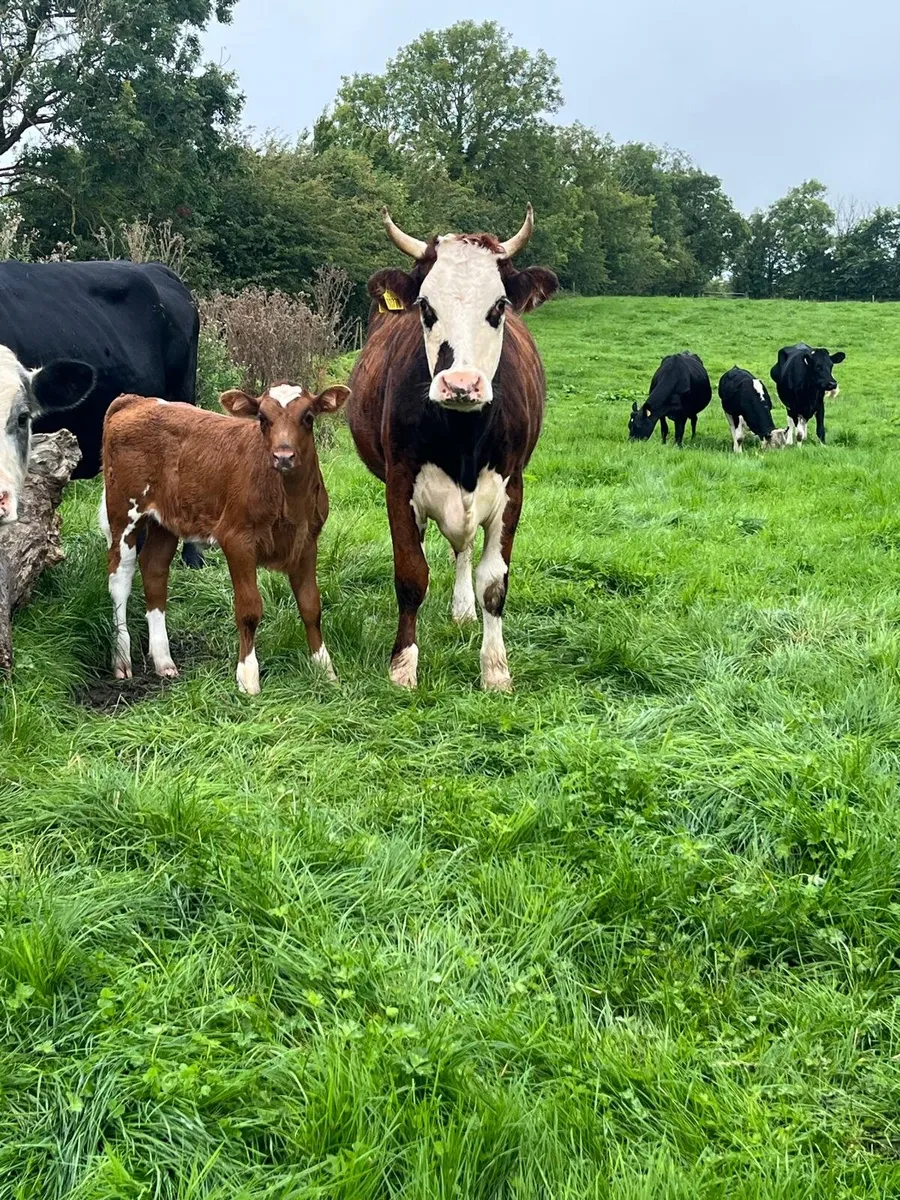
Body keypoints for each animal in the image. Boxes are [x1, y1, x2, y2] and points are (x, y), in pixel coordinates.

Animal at [100, 382, 349, 693]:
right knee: (120, 578)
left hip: (165, 521)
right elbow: (249, 609)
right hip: (124, 512)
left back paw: (164, 660)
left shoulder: (307, 543)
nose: (283, 456)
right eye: (262, 419)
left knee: (154, 570)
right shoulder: (237, 540)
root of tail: (136, 400)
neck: (289, 501)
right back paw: (121, 658)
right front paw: (248, 678)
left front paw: (325, 670)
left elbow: (311, 606)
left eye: (308, 417)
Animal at [347, 205, 558, 692]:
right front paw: (403, 665)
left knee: (463, 547)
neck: (464, 438)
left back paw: (463, 611)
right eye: (426, 307)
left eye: (498, 307)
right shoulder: (399, 484)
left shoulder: (511, 487)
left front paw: (496, 670)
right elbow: (411, 573)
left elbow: (493, 582)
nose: (461, 384)